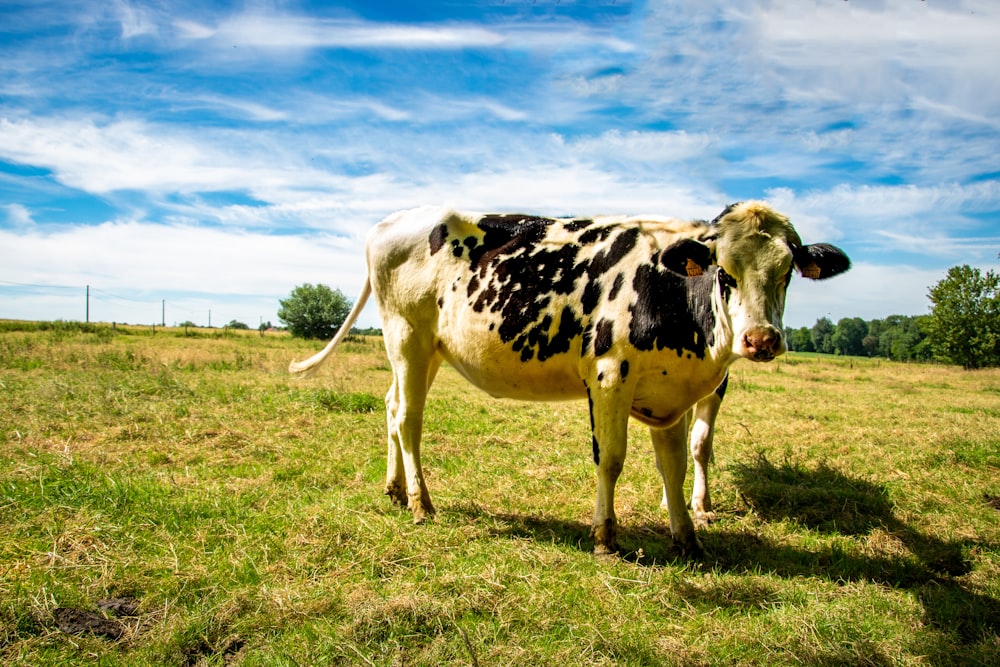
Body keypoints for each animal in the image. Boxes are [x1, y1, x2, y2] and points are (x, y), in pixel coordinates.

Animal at [292, 201, 852, 556]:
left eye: (786, 272)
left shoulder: (670, 394)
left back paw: (394, 489)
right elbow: (612, 459)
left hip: (427, 351)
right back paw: (420, 503)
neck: (669, 292)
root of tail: (392, 221)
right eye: (723, 270)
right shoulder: (608, 375)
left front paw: (687, 536)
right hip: (407, 336)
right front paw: (605, 536)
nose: (761, 339)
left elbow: (674, 465)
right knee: (409, 420)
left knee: (391, 406)